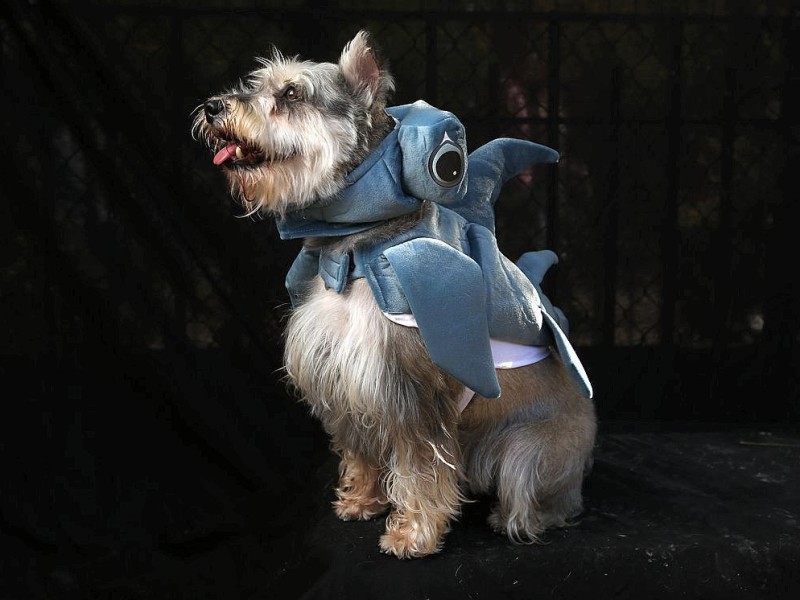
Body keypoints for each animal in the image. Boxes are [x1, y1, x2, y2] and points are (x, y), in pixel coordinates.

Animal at [192, 31, 592, 556]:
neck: (351, 251)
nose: (212, 107)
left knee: (539, 499)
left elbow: (422, 469)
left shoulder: (411, 394)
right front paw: (362, 501)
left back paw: (515, 517)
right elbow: (361, 450)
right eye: (256, 84)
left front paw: (412, 534)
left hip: (529, 451)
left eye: (292, 93)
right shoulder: (343, 380)